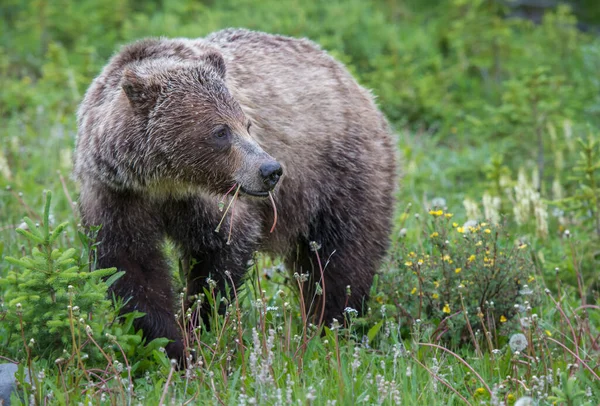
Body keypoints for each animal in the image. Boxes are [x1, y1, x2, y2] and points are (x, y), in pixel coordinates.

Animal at [72, 29, 396, 364]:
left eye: (247, 124)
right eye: (220, 131)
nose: (271, 170)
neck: (164, 184)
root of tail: (353, 80)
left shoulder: (214, 200)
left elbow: (221, 256)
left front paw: (199, 323)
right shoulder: (117, 196)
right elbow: (132, 268)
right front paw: (171, 344)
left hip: (341, 173)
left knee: (344, 256)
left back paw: (332, 326)